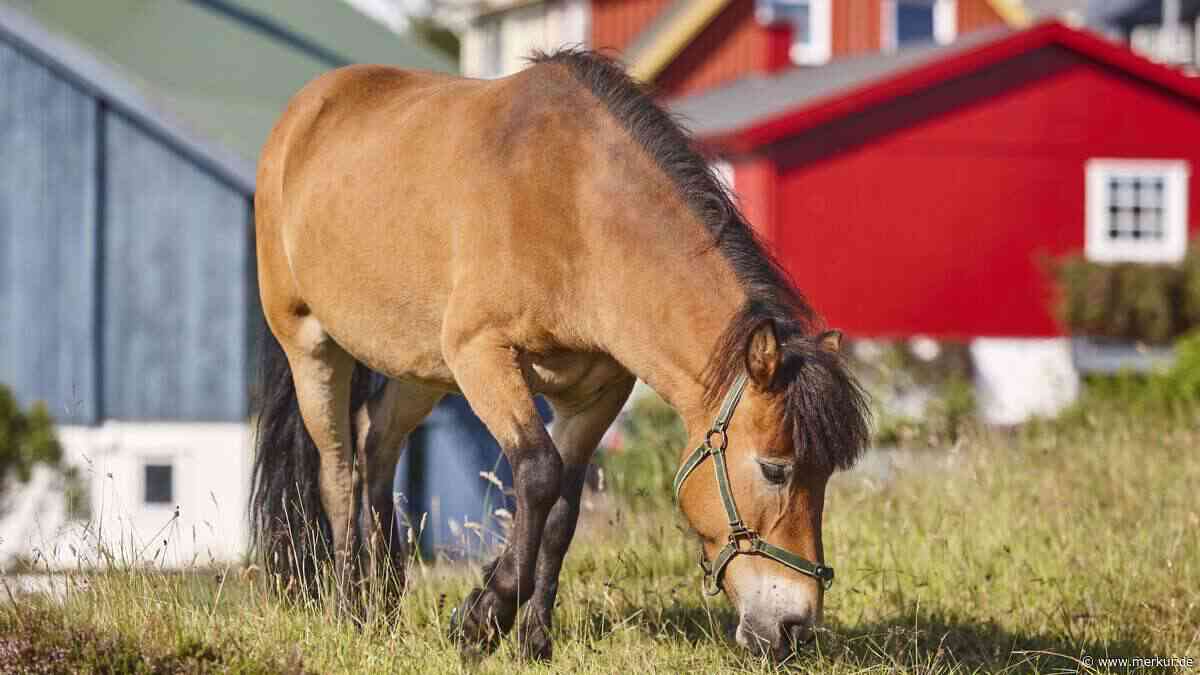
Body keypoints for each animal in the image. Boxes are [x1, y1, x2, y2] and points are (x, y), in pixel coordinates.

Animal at [249, 48, 870, 662]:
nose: (794, 626)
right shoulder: (483, 354)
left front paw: (532, 639)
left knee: (376, 444)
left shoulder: (598, 392)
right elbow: (538, 474)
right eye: (774, 469)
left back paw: (383, 604)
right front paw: (481, 621)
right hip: (312, 346)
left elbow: (564, 508)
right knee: (337, 469)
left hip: (420, 369)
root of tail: (300, 117)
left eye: (824, 474)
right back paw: (349, 612)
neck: (576, 209)